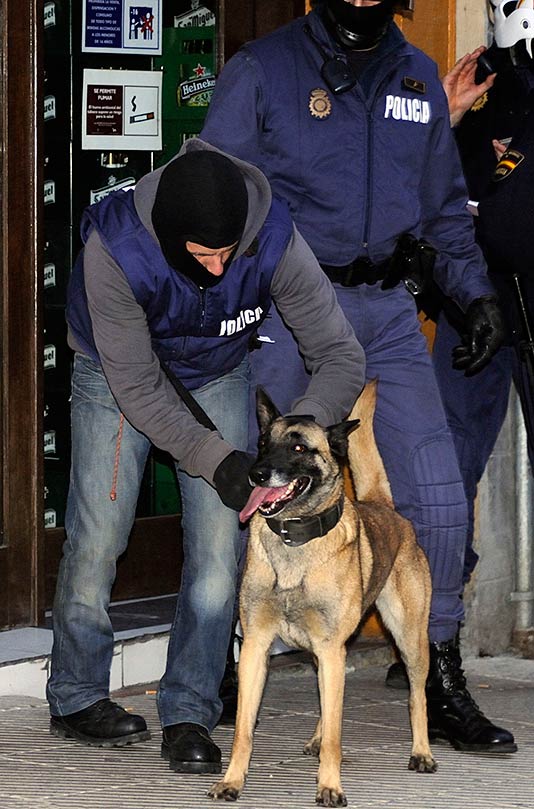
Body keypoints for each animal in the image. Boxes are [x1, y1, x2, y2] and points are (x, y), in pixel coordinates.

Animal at [207, 382, 438, 804]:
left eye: (299, 448)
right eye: (263, 442)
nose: (256, 473)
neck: (294, 541)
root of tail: (384, 507)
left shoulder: (332, 648)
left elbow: (336, 734)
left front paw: (329, 785)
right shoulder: (256, 648)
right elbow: (244, 730)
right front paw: (233, 780)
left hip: (410, 639)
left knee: (417, 696)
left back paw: (422, 752)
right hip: (326, 653)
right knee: (329, 705)